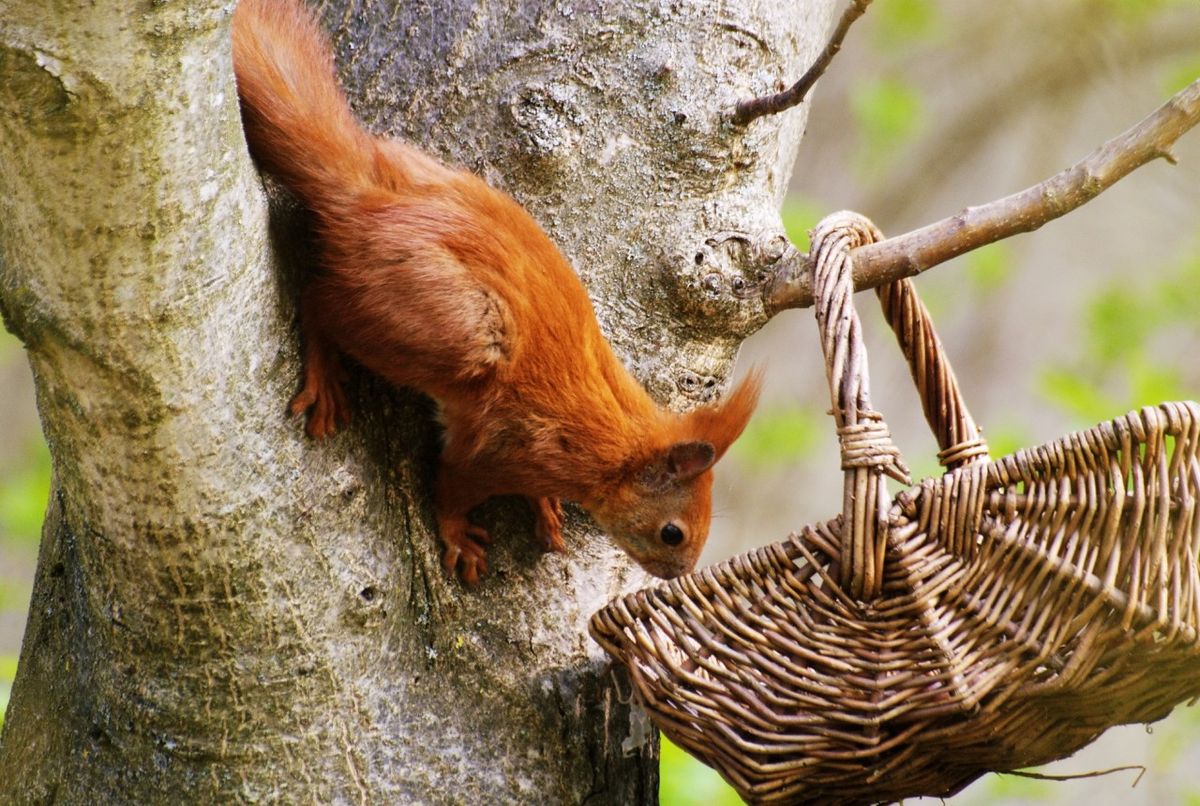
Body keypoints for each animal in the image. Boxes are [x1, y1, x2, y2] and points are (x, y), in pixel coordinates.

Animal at [231, 0, 761, 584]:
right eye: (673, 532)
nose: (678, 572)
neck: (614, 442)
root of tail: (368, 201)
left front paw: (544, 508)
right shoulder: (507, 453)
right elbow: (452, 485)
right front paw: (459, 535)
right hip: (451, 329)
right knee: (318, 303)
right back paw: (324, 370)